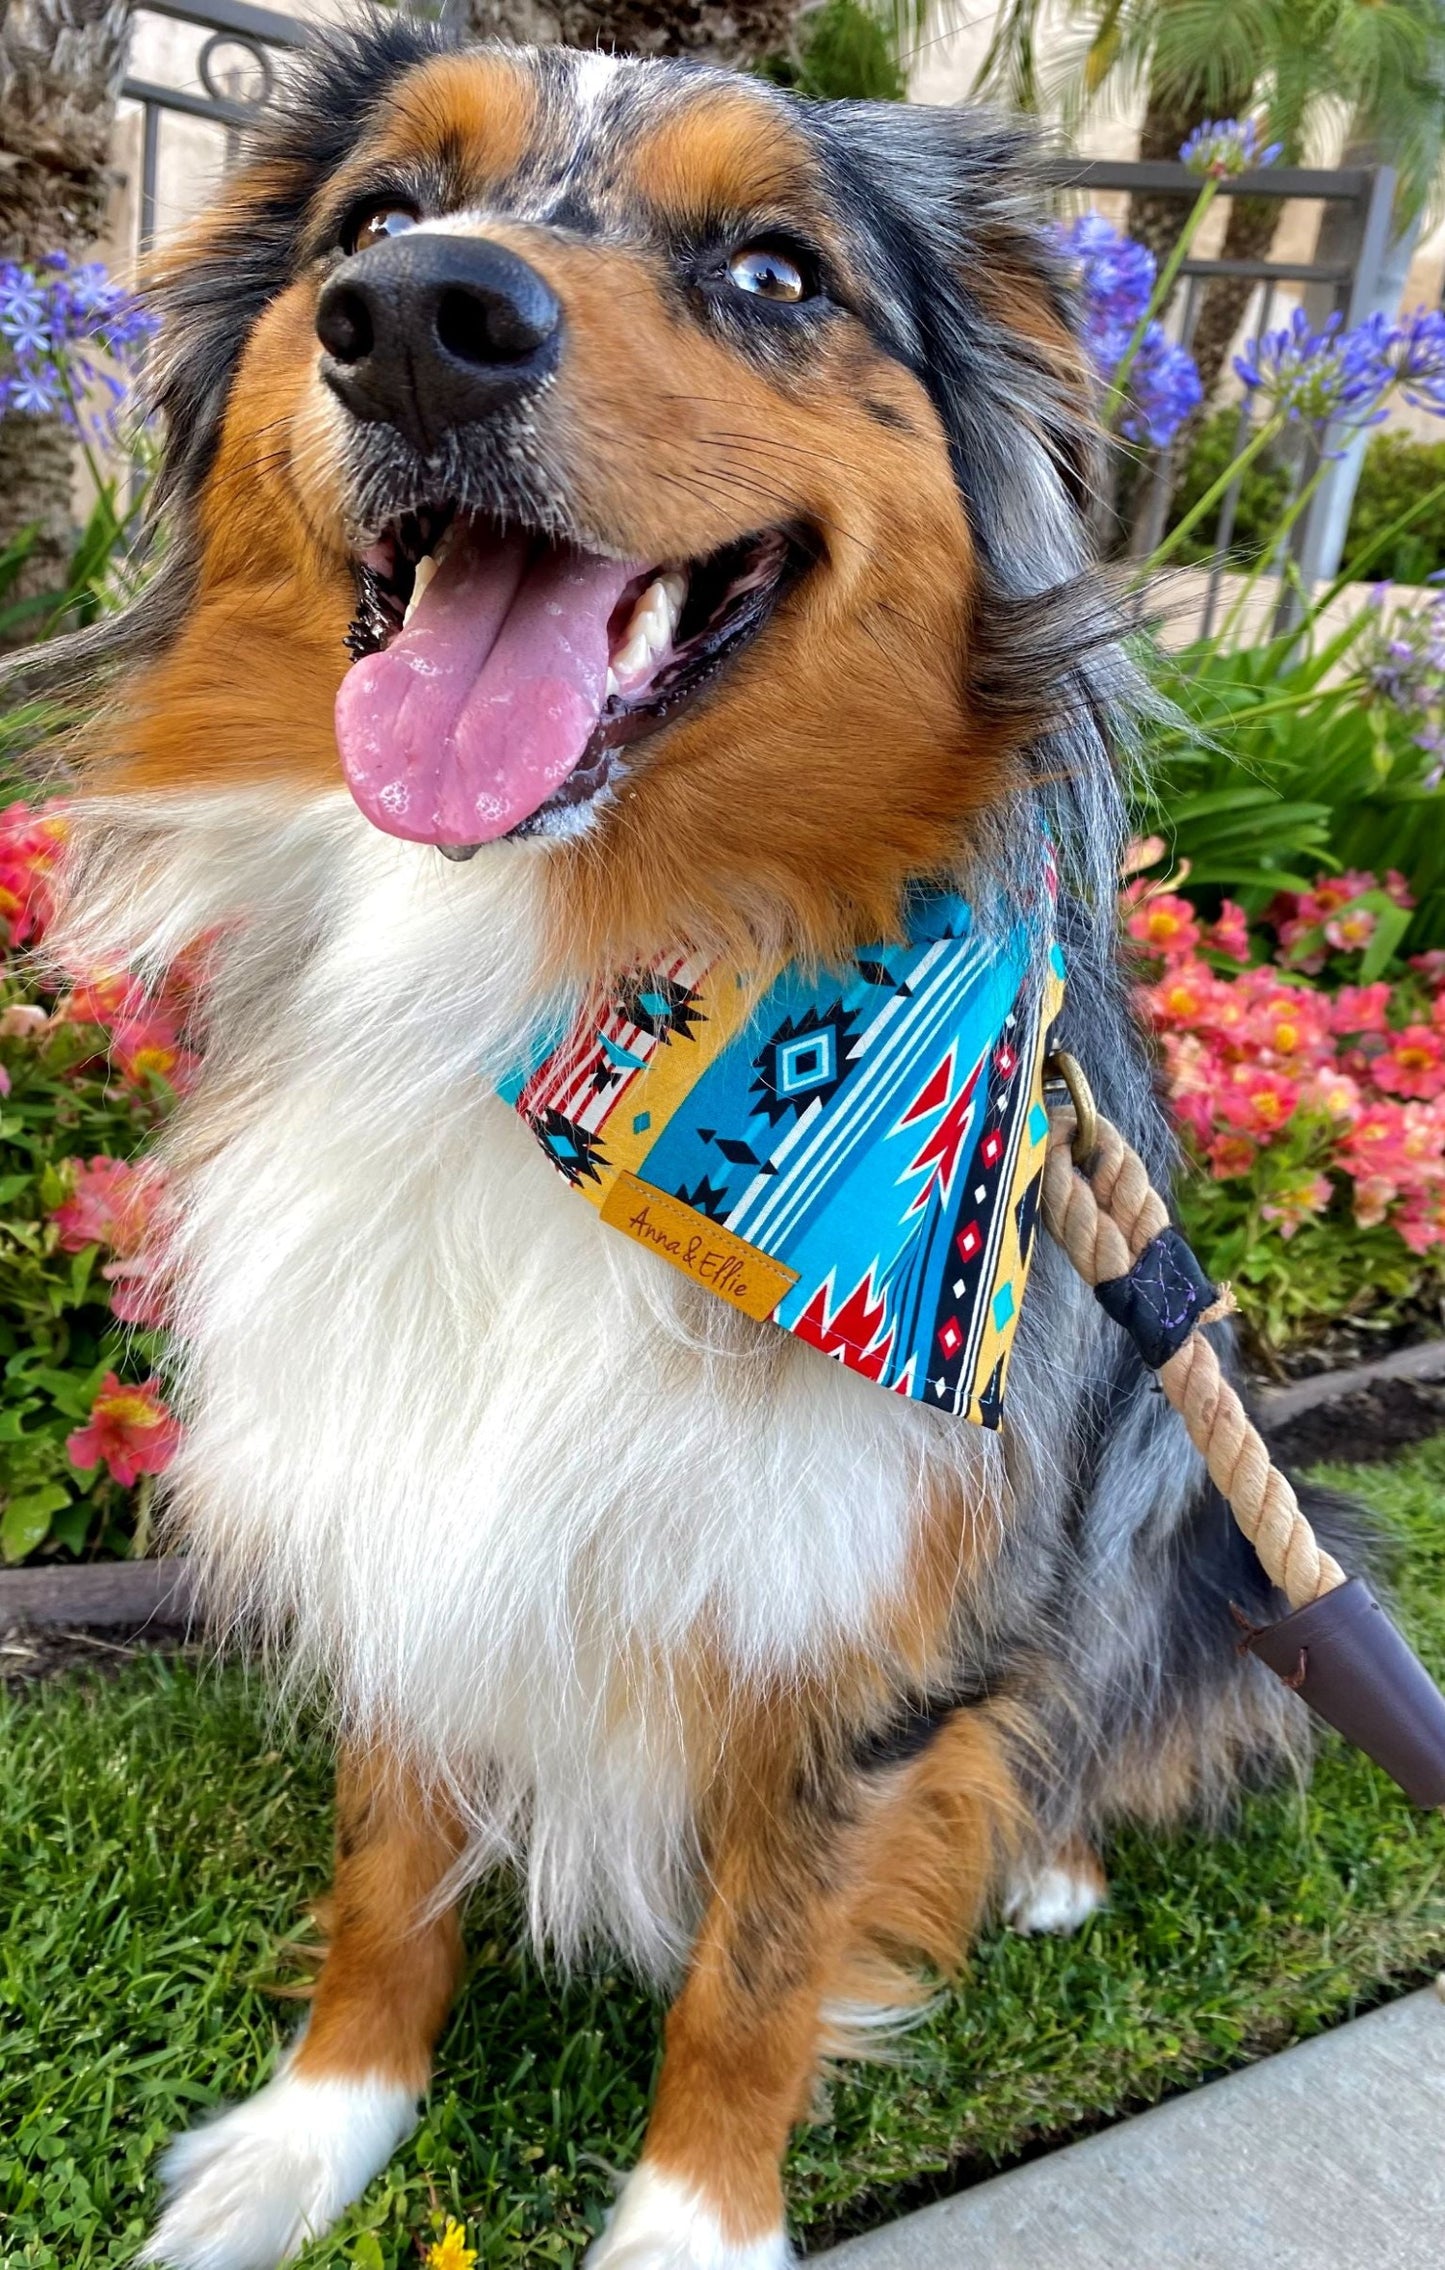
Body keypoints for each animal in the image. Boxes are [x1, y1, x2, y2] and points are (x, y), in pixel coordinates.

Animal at [36, 22, 1361, 2270]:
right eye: (375, 216)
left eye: (770, 272)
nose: (416, 323)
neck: (570, 989)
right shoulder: (397, 1484)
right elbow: (388, 1876)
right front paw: (317, 2133)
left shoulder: (863, 1622)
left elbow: (757, 1973)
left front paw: (689, 2225)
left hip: (1203, 1494)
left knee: (1116, 1703)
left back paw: (1049, 1855)